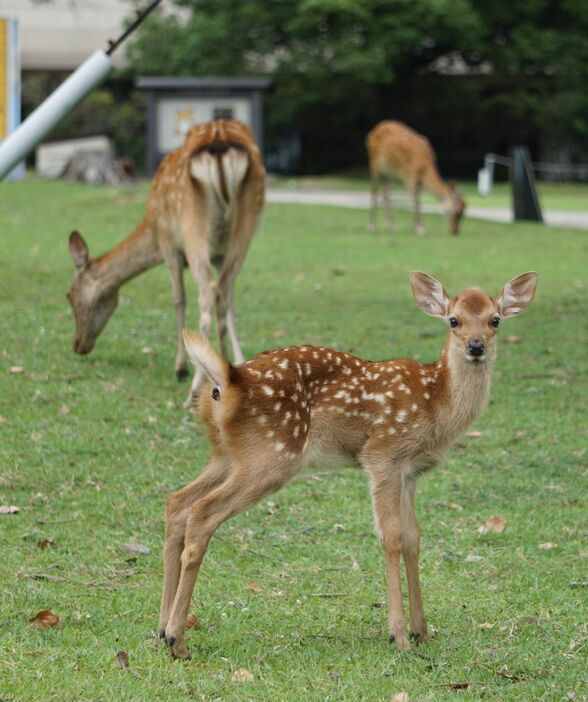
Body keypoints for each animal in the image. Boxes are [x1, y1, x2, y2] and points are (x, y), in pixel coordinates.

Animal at [65, 120, 266, 408]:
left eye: (70, 296)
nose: (77, 344)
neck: (150, 227)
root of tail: (220, 143)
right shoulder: (220, 254)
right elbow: (229, 306)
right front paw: (235, 363)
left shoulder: (169, 245)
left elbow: (178, 299)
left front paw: (180, 369)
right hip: (245, 228)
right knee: (223, 289)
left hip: (192, 226)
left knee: (206, 291)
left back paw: (192, 392)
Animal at [157, 270, 536, 660]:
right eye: (454, 320)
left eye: (495, 319)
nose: (476, 346)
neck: (436, 405)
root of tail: (227, 381)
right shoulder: (383, 455)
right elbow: (392, 538)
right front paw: (398, 636)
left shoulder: (410, 472)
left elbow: (414, 538)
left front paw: (422, 632)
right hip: (272, 454)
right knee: (202, 512)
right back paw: (177, 640)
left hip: (227, 454)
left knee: (178, 502)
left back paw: (160, 628)